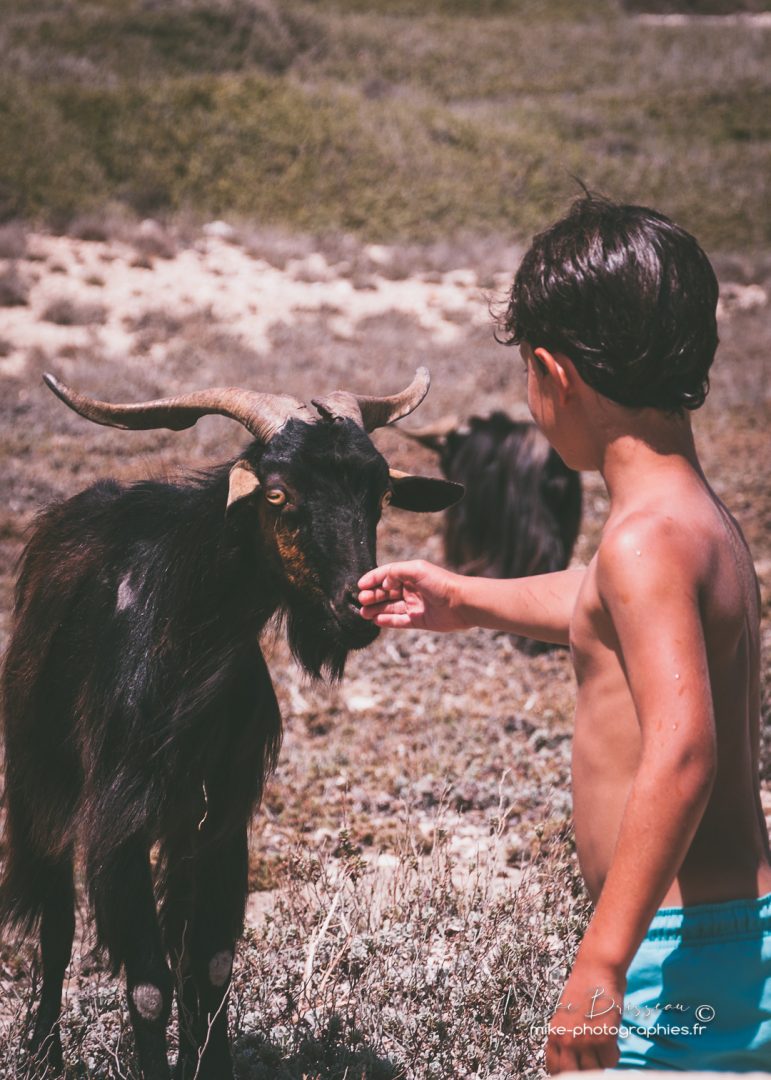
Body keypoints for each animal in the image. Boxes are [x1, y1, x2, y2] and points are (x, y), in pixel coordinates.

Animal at [0, 369, 462, 1080]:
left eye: (380, 491)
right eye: (277, 492)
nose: (357, 608)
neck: (184, 637)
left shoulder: (219, 818)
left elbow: (211, 964)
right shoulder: (118, 820)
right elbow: (148, 982)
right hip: (39, 783)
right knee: (54, 924)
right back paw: (44, 1051)